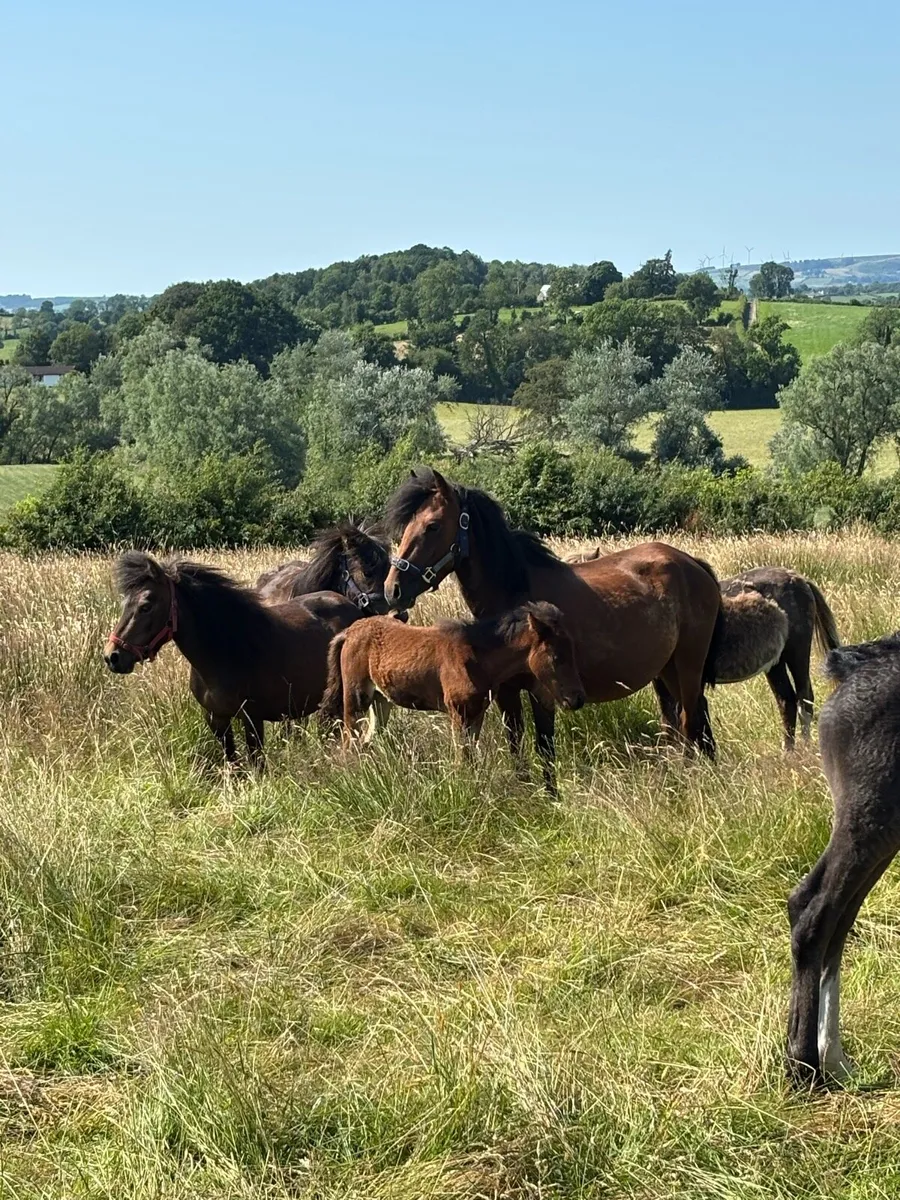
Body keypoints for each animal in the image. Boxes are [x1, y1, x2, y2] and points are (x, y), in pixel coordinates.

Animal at [104, 551, 361, 766]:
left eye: (146, 606)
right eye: (125, 603)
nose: (112, 657)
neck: (224, 653)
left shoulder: (252, 718)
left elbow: (257, 764)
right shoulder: (216, 719)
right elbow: (232, 764)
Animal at [321, 602, 585, 751]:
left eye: (574, 652)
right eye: (557, 658)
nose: (577, 699)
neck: (475, 657)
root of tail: (349, 632)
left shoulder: (476, 714)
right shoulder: (458, 713)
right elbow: (463, 760)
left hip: (380, 700)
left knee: (367, 741)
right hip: (356, 698)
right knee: (349, 742)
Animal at [382, 468, 723, 790]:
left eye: (433, 526)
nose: (392, 590)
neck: (515, 593)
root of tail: (691, 563)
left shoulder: (544, 691)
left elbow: (544, 747)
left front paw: (551, 798)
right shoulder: (507, 693)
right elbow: (516, 743)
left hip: (688, 665)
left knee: (691, 720)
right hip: (667, 669)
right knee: (688, 720)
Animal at [654, 567, 841, 751]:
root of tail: (801, 580)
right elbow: (670, 721)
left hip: (797, 652)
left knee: (804, 699)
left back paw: (806, 750)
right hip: (776, 663)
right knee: (787, 702)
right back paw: (788, 753)